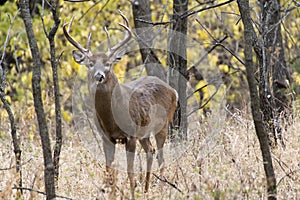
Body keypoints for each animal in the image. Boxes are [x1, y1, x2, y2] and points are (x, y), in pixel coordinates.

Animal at [62, 11, 177, 199]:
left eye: (108, 64)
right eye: (91, 64)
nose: (99, 76)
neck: (111, 118)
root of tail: (172, 90)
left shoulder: (130, 135)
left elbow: (130, 171)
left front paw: (131, 194)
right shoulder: (106, 137)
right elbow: (109, 170)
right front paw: (112, 194)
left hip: (163, 125)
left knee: (161, 157)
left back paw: (161, 190)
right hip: (144, 133)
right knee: (150, 151)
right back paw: (146, 189)